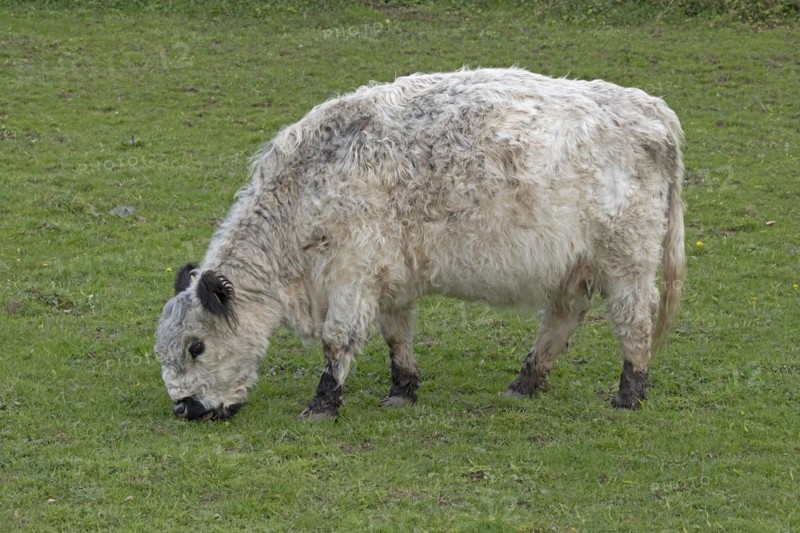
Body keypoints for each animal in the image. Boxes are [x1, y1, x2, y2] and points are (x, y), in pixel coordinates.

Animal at [155, 67, 686, 421]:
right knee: (561, 319)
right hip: (574, 263)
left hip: (627, 258)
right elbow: (397, 334)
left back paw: (629, 395)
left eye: (196, 346)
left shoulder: (353, 272)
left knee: (635, 321)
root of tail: (651, 109)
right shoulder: (389, 275)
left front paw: (322, 403)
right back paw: (524, 383)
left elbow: (337, 339)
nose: (184, 407)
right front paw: (402, 390)